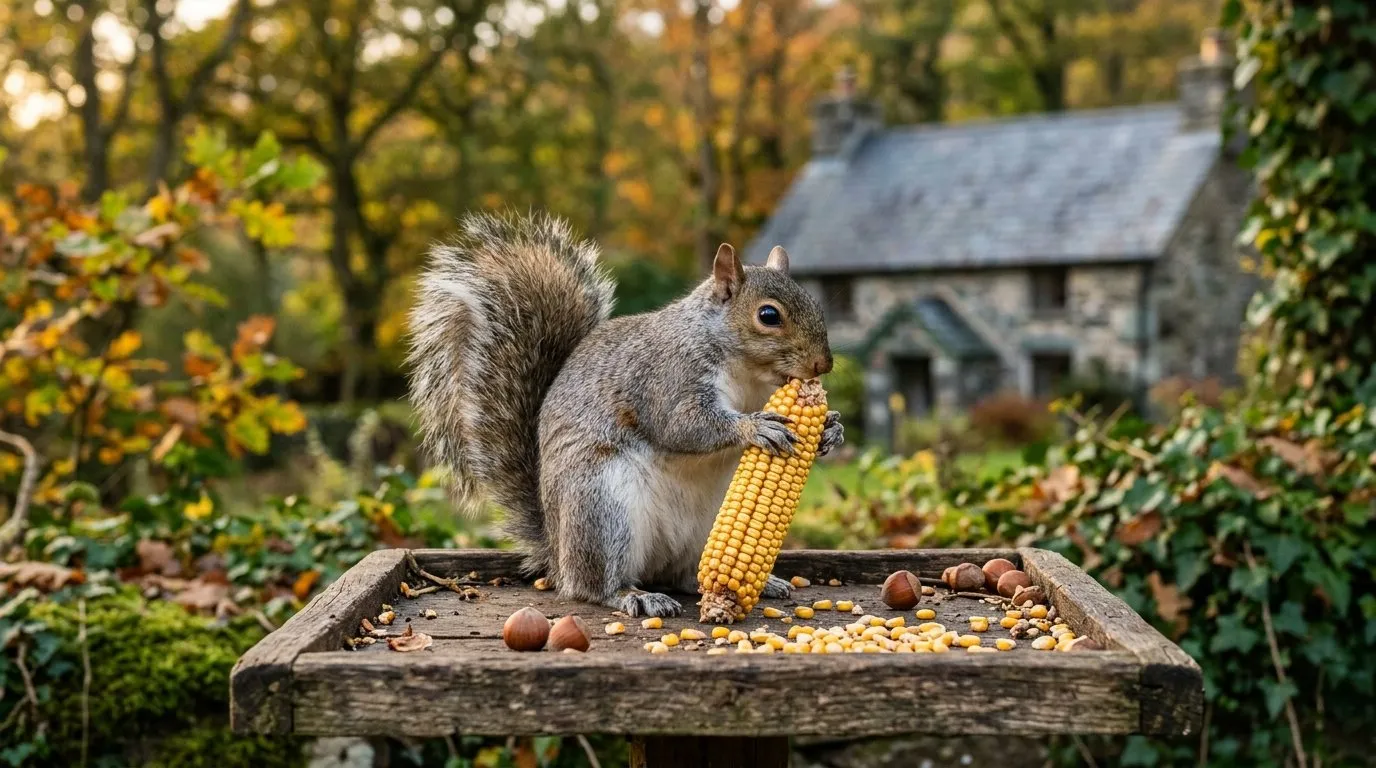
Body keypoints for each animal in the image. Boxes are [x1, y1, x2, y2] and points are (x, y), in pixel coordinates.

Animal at [407, 211, 843, 617]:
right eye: (768, 316)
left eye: (816, 305)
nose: (823, 364)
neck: (749, 375)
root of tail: (557, 554)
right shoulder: (668, 378)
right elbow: (684, 425)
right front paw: (754, 427)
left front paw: (830, 430)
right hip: (602, 507)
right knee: (594, 585)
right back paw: (635, 595)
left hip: (701, 526)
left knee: (686, 575)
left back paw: (759, 583)